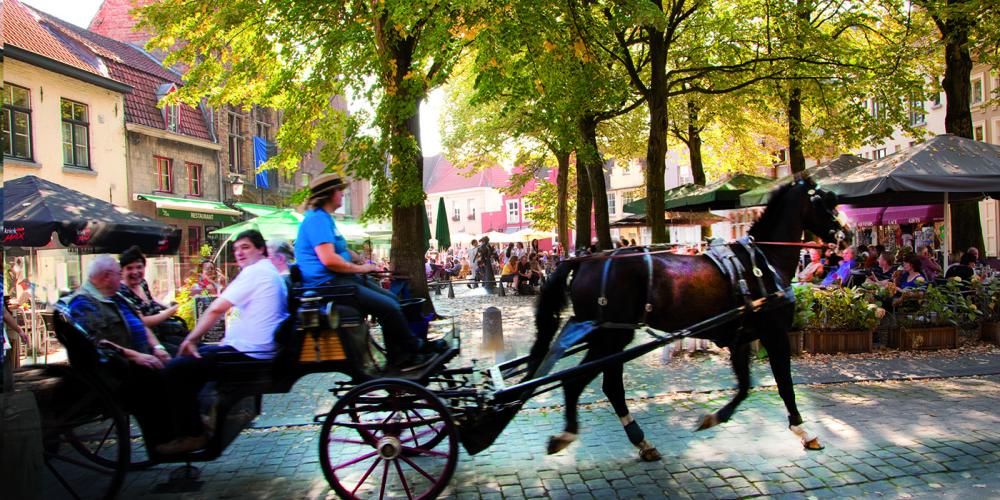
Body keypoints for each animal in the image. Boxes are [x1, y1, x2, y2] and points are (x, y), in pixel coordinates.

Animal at [532, 179, 844, 460]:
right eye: (826, 203)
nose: (846, 234)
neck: (762, 262)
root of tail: (582, 260)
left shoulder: (741, 338)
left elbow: (745, 385)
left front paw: (715, 416)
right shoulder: (775, 333)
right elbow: (784, 383)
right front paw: (804, 431)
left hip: (611, 337)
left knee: (606, 386)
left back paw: (638, 441)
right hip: (611, 337)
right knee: (580, 383)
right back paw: (570, 435)